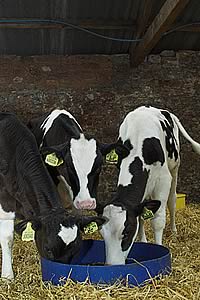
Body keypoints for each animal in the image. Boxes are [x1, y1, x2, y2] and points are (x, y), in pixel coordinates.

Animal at [100, 106, 200, 264]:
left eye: (127, 232)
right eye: (102, 233)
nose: (112, 265)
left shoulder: (163, 181)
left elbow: (158, 220)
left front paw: (159, 247)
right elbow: (141, 215)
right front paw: (143, 241)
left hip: (175, 167)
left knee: (172, 200)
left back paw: (174, 231)